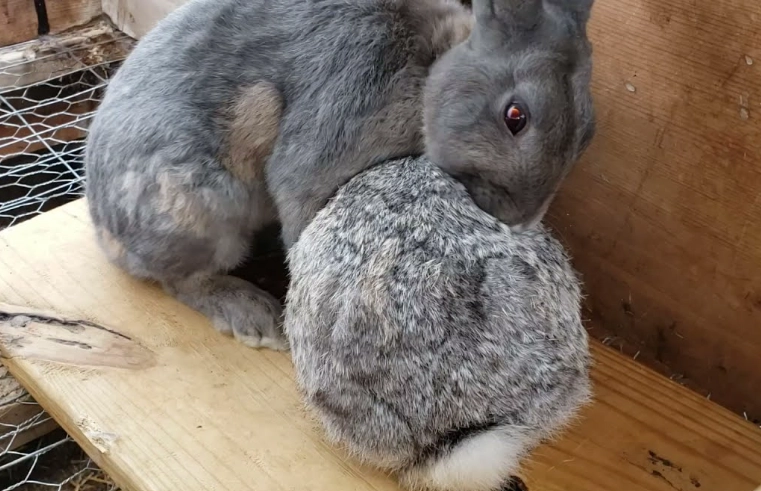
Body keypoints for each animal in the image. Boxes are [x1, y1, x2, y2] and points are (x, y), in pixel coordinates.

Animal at [85, 0, 595, 351]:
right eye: (515, 116)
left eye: (588, 132)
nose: (522, 219)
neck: (431, 66)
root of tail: (105, 234)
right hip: (196, 207)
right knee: (181, 281)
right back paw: (252, 316)